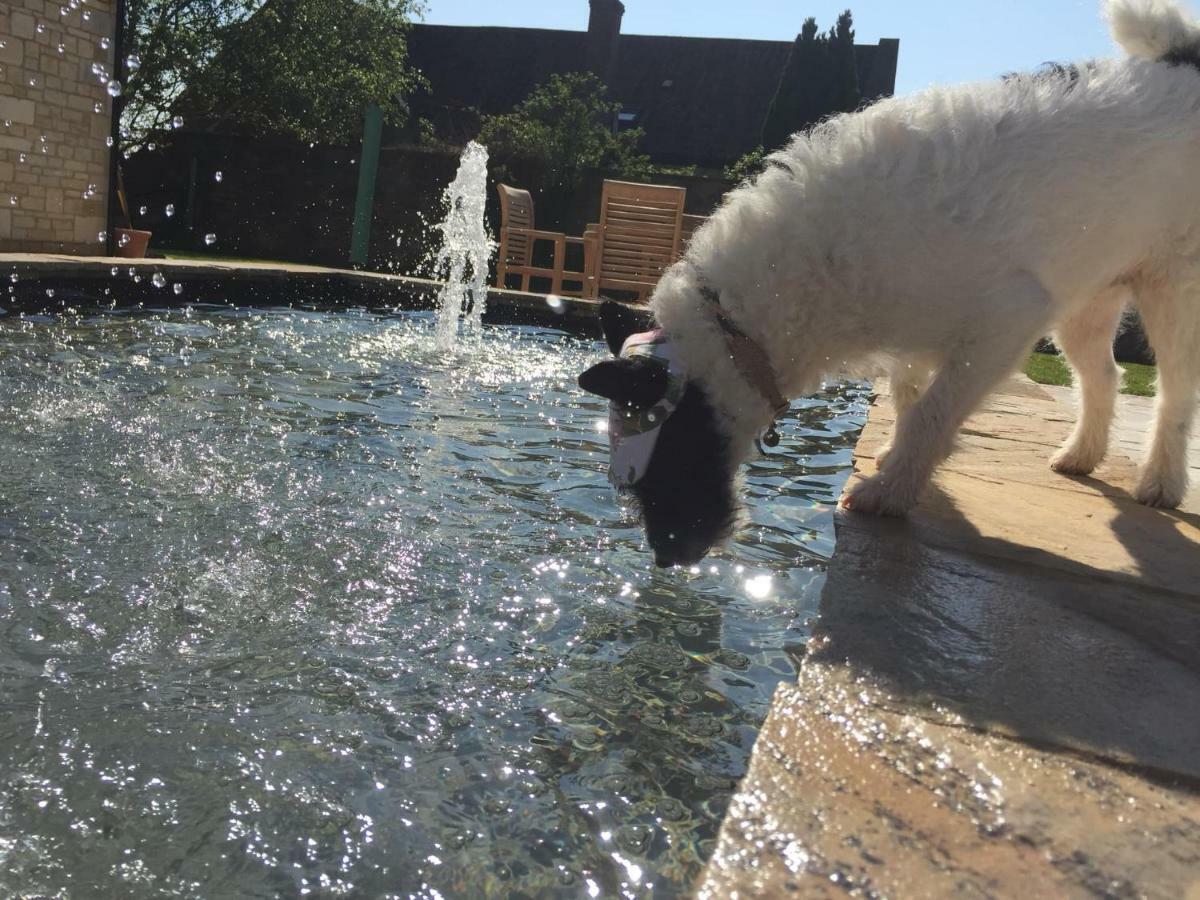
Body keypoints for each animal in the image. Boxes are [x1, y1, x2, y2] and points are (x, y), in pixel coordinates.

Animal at [578, 0, 1200, 564]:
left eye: (670, 455)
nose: (667, 557)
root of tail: (1180, 64)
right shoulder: (915, 339)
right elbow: (908, 398)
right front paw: (899, 460)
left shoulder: (1003, 326)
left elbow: (931, 414)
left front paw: (891, 490)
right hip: (1086, 300)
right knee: (1104, 376)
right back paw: (1083, 454)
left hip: (1173, 294)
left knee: (1173, 389)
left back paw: (1162, 480)